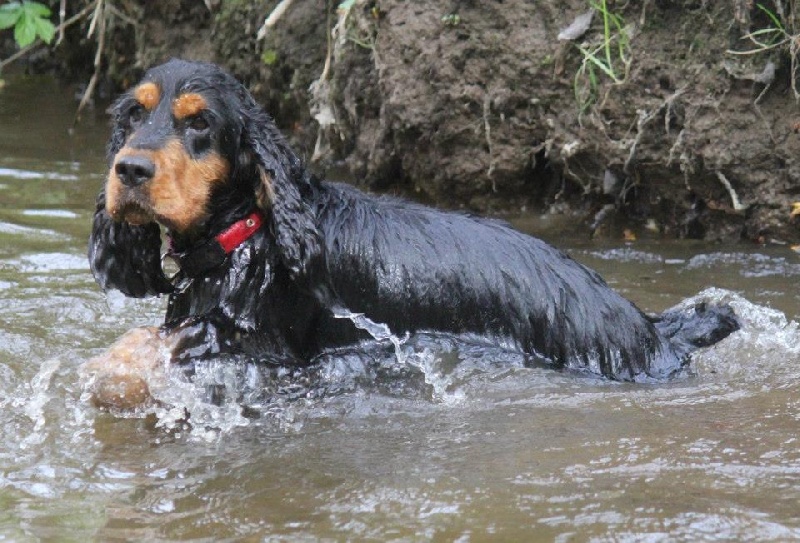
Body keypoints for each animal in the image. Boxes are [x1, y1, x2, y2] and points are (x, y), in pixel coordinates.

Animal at [84, 58, 740, 408]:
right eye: (134, 113)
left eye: (199, 123)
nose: (129, 170)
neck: (249, 235)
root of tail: (646, 325)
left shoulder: (270, 345)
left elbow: (155, 344)